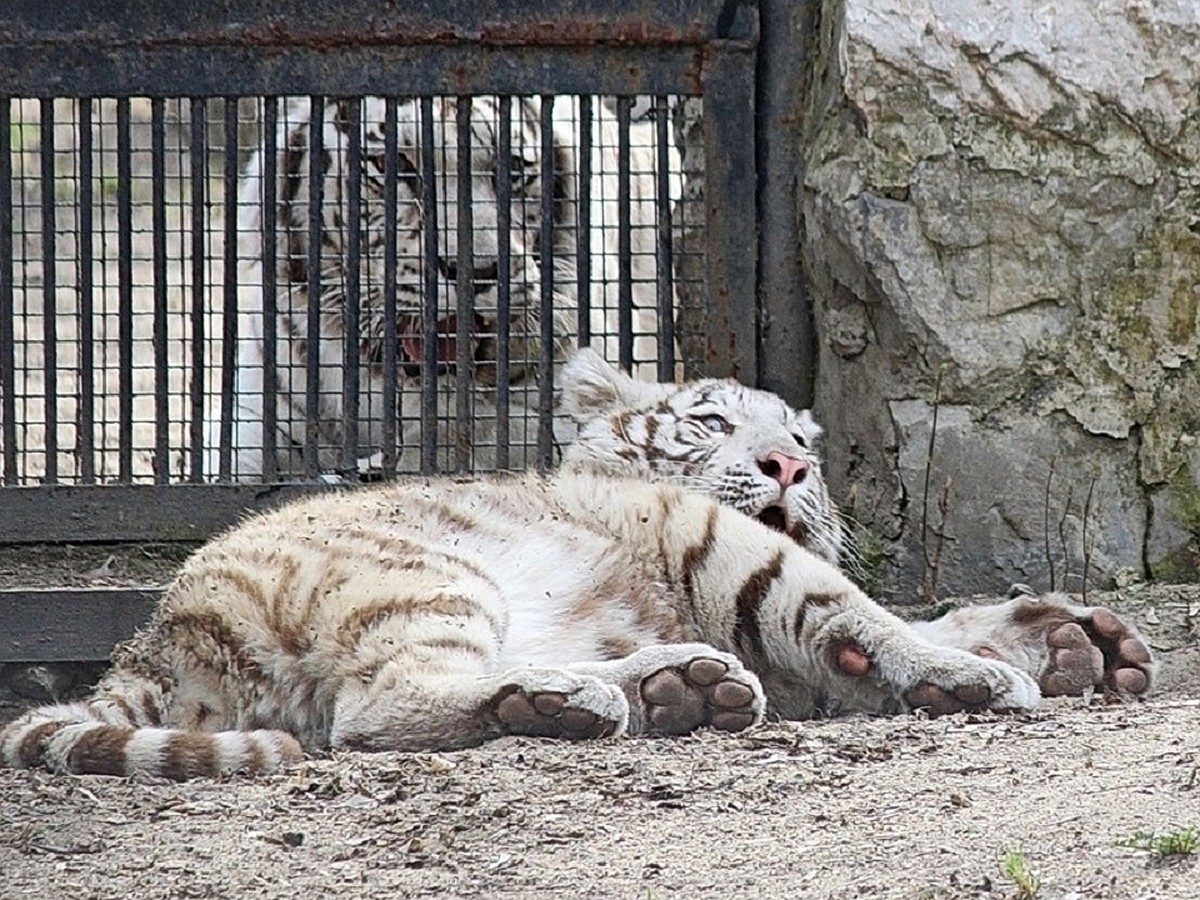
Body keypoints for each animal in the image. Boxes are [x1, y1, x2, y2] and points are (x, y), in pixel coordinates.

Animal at [4, 352, 1156, 782]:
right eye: (712, 422)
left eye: (804, 443)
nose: (788, 464)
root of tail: (154, 637)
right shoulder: (714, 537)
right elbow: (851, 607)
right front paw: (987, 674)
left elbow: (904, 618)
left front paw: (1080, 645)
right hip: (427, 578)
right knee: (375, 712)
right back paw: (596, 700)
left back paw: (669, 688)